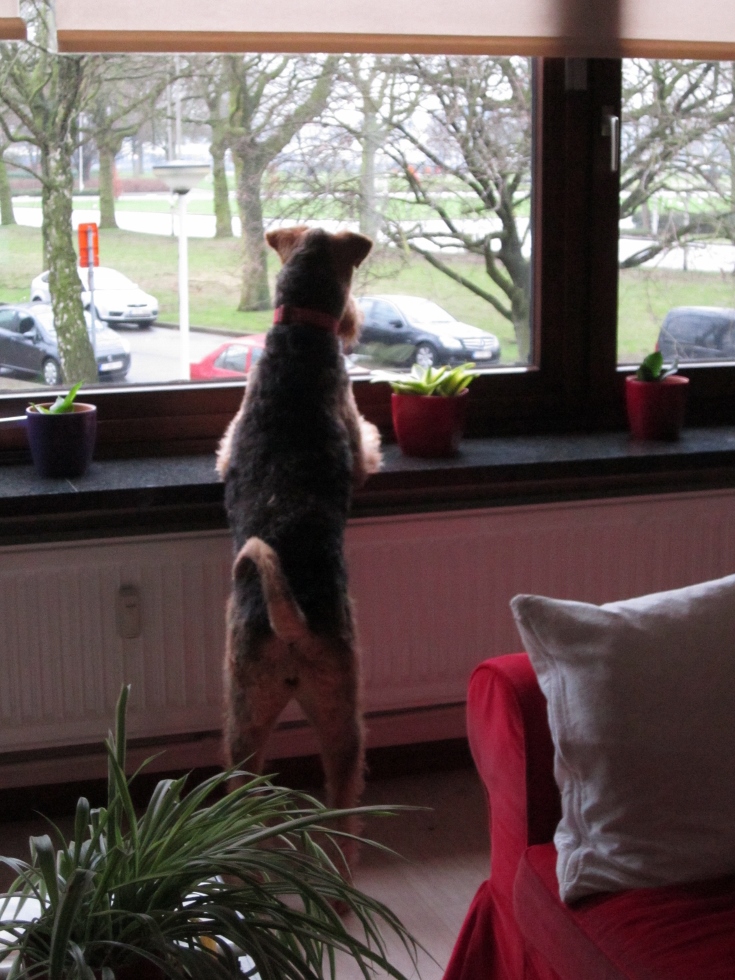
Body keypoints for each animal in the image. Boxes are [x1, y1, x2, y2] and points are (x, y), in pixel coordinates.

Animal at [216, 225, 381, 871]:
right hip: (328, 712)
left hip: (262, 715)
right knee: (340, 802)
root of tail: (292, 628)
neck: (299, 334)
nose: (355, 324)